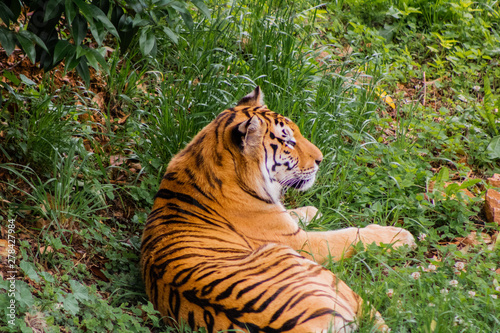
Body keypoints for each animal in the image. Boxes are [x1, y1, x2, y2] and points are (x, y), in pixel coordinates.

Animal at [140, 87, 414, 330]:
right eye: (289, 142)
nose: (320, 159)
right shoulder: (301, 242)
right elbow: (347, 236)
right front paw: (398, 236)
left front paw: (312, 210)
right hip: (327, 278)